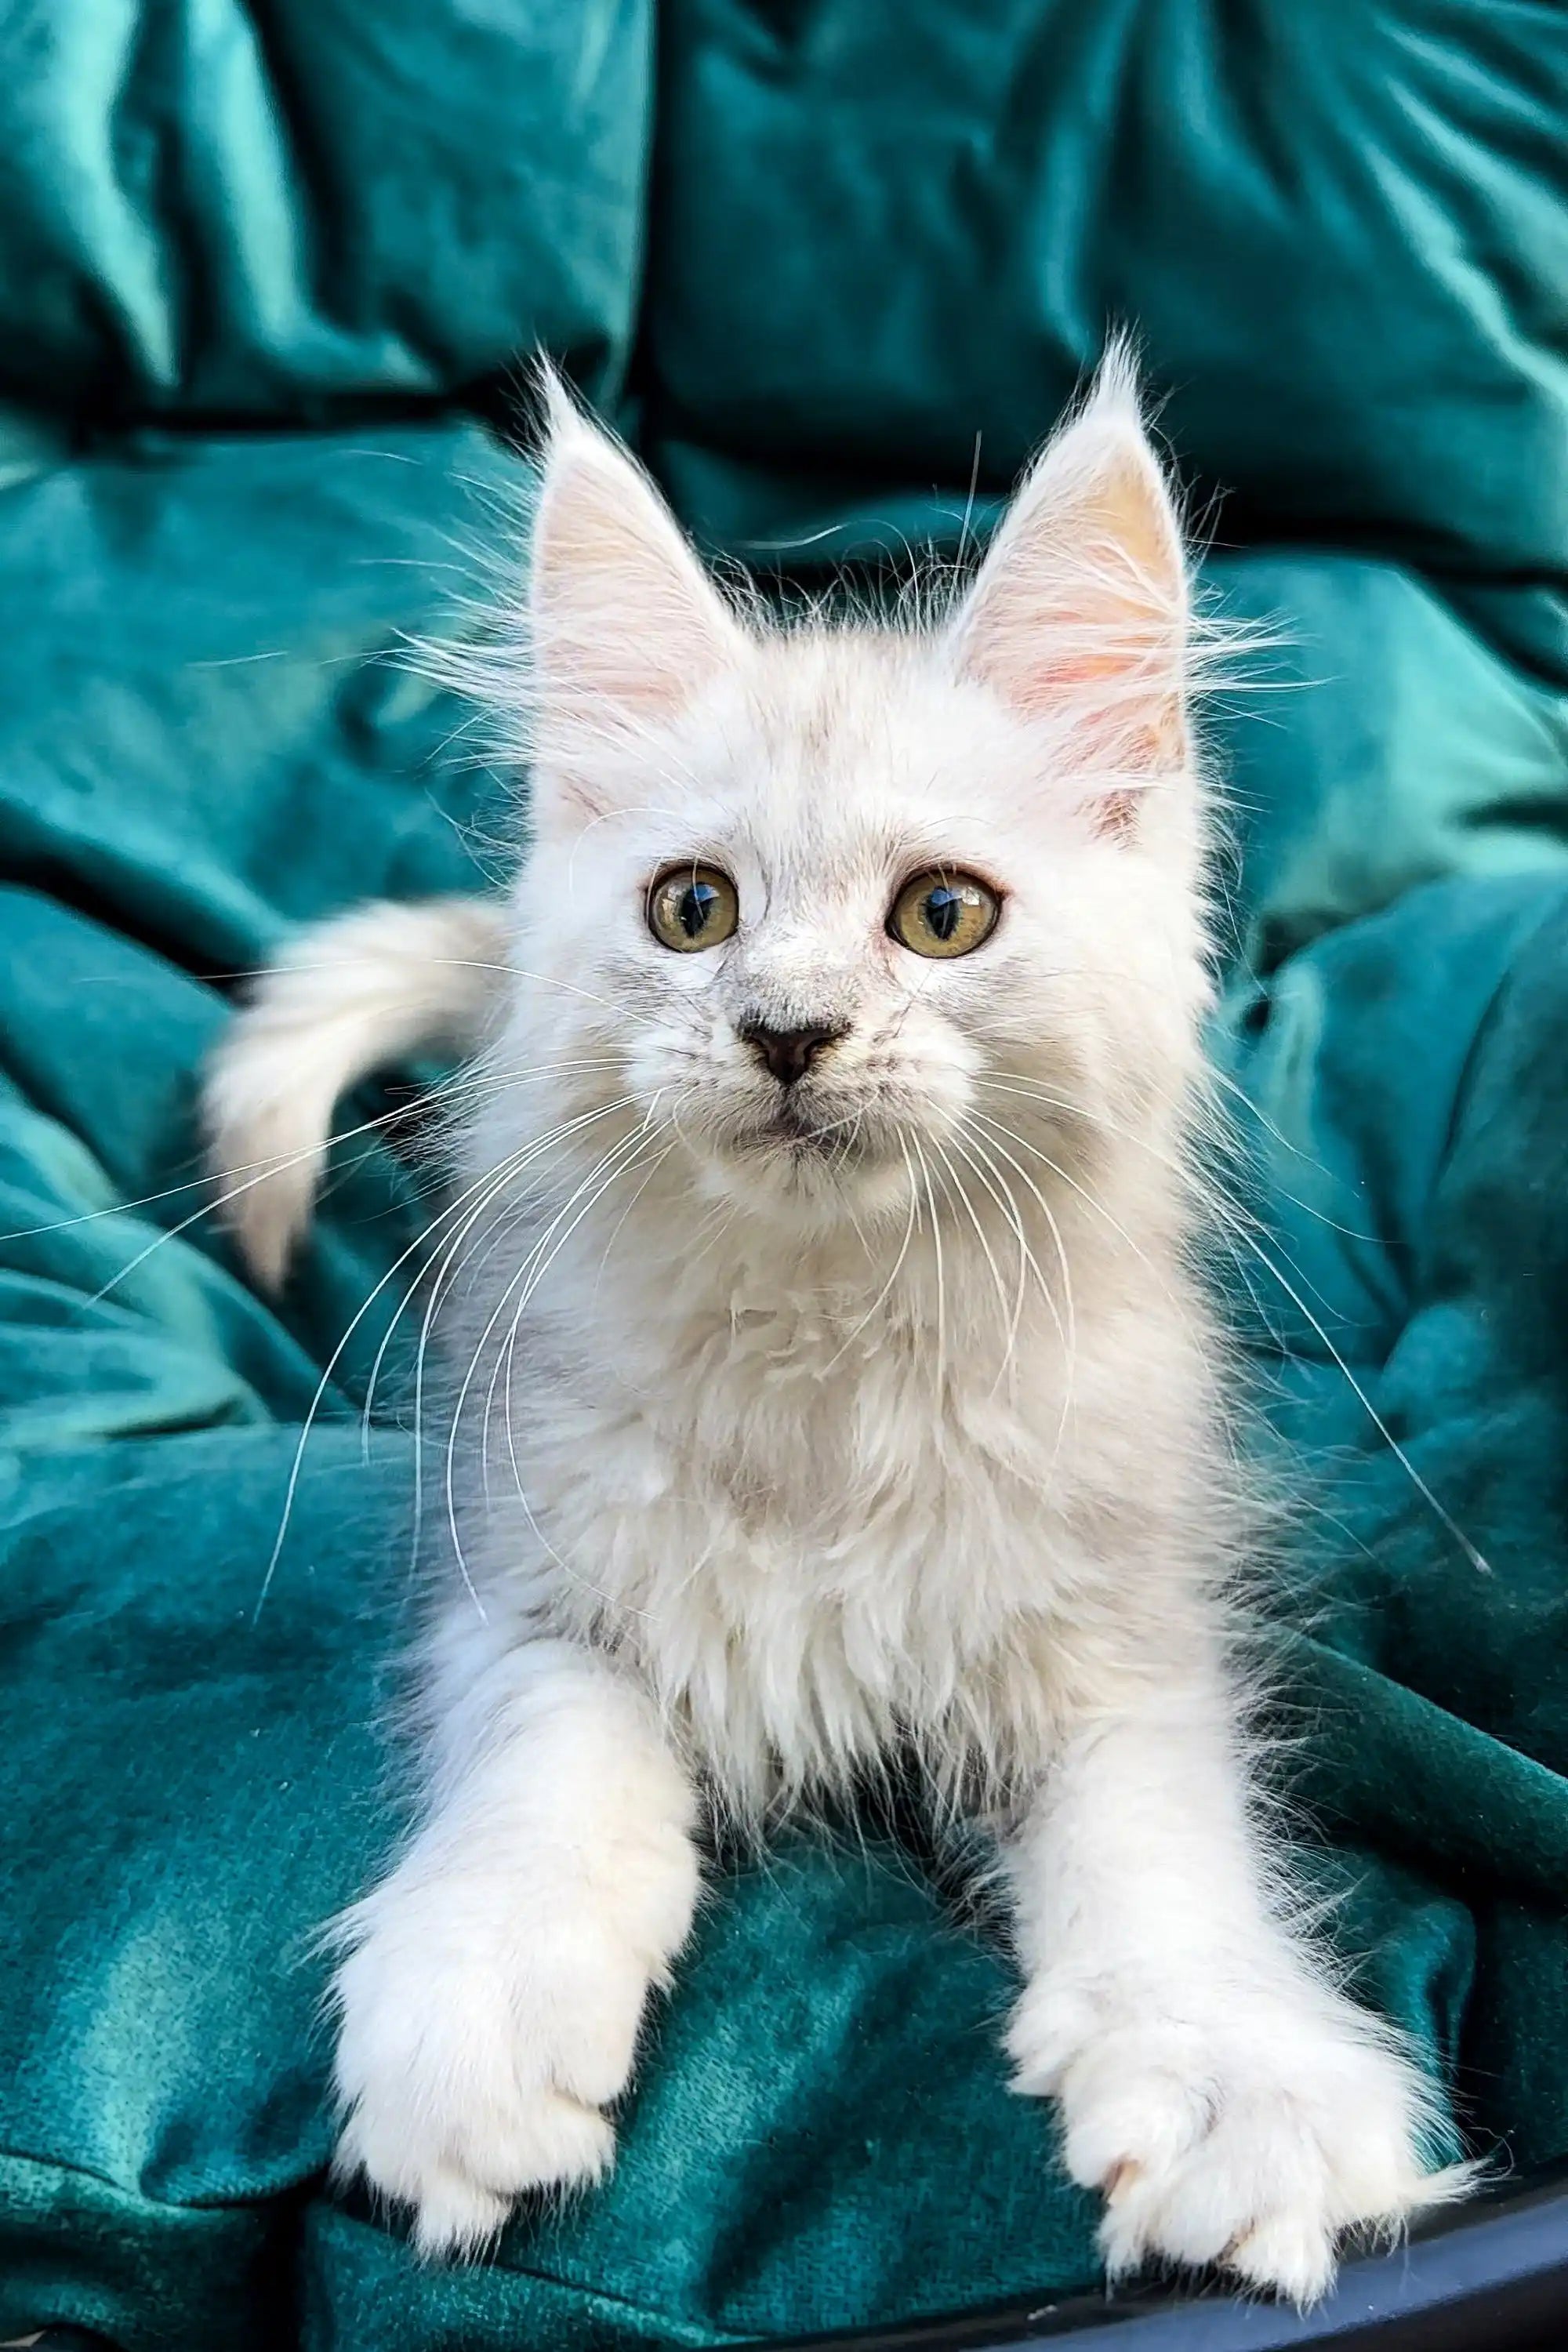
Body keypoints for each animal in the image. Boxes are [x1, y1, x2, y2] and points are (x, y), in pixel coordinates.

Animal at [201, 358, 1467, 2305]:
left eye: (940, 916)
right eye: (694, 910)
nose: (788, 1031)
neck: (829, 1352)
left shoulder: (1126, 1638)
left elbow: (1164, 1858)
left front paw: (1236, 2081)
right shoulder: (520, 1575)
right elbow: (549, 1773)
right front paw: (477, 2024)